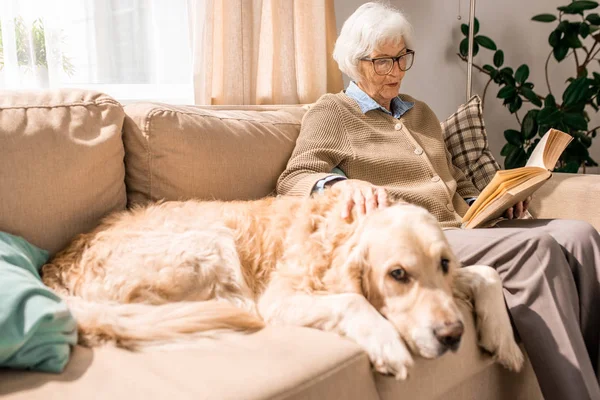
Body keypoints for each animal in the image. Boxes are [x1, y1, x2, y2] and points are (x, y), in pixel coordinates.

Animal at [42, 191, 524, 378]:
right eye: (397, 274)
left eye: (443, 263)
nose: (453, 335)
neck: (340, 230)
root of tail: (55, 270)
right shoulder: (279, 298)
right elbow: (353, 301)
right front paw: (388, 343)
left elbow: (487, 272)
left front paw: (504, 339)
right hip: (212, 241)